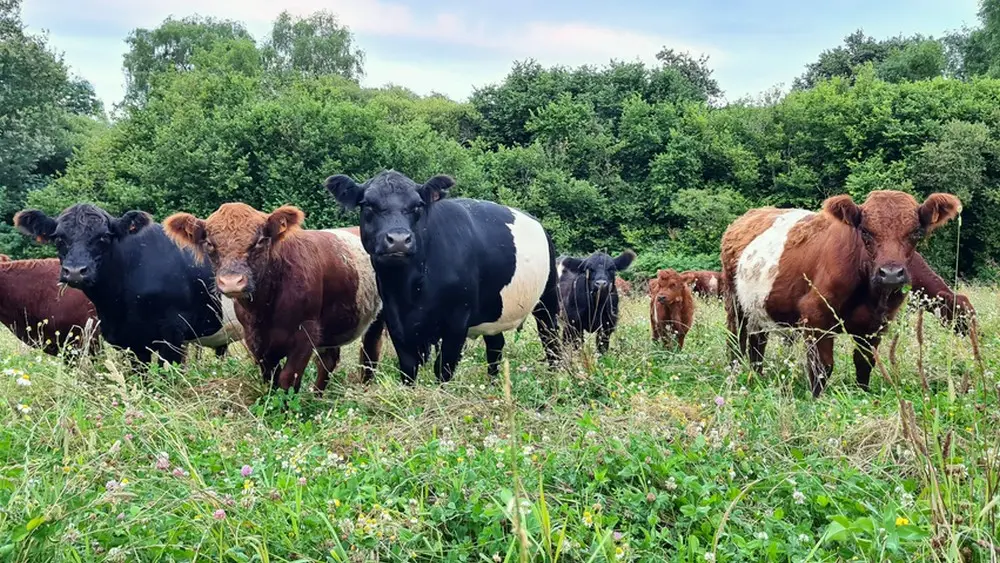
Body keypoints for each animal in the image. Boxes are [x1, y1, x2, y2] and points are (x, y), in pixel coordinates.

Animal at [164, 203, 382, 392]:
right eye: (209, 243)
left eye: (260, 241)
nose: (232, 281)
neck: (266, 307)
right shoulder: (255, 339)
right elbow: (271, 378)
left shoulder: (306, 334)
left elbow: (288, 379)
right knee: (328, 361)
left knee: (369, 354)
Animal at [322, 170, 564, 386]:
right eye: (368, 205)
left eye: (418, 205)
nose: (399, 239)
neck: (410, 288)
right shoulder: (395, 320)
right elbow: (408, 368)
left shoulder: (457, 321)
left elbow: (443, 368)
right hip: (493, 310)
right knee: (496, 344)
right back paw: (493, 384)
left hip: (548, 298)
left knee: (550, 337)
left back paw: (555, 378)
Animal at [724, 192, 964, 398]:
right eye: (865, 232)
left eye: (916, 232)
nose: (891, 274)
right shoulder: (815, 316)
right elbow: (822, 367)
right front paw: (816, 401)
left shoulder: (874, 325)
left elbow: (864, 364)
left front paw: (862, 394)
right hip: (734, 301)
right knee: (736, 339)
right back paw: (734, 374)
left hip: (758, 307)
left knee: (757, 343)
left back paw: (757, 375)